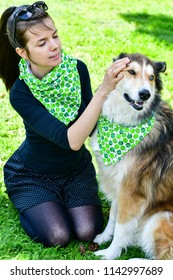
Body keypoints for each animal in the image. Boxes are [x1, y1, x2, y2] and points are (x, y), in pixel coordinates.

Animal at [90, 53, 173, 260]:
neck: (126, 123)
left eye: (151, 77)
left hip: (159, 217)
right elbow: (113, 216)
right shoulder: (119, 184)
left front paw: (110, 253)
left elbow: (121, 227)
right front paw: (103, 237)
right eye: (131, 71)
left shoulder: (132, 191)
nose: (145, 94)